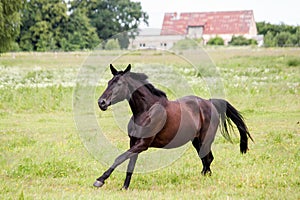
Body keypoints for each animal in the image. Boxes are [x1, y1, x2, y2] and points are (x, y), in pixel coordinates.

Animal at [94, 64, 253, 189]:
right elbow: (130, 165)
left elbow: (119, 158)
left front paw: (100, 180)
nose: (101, 102)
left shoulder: (143, 144)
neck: (146, 111)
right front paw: (125, 187)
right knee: (206, 159)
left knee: (208, 159)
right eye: (109, 82)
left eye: (119, 84)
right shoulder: (134, 142)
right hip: (196, 141)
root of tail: (209, 102)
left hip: (205, 139)